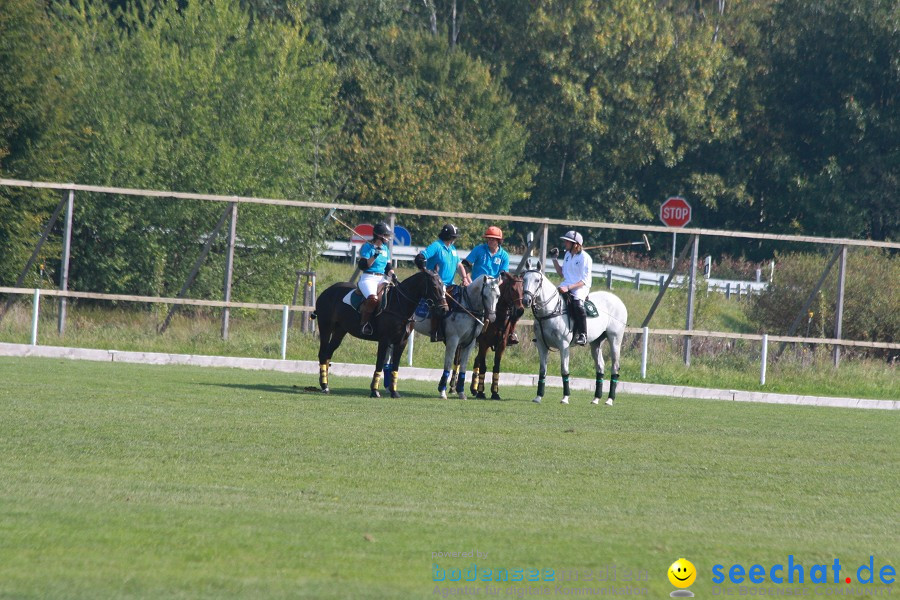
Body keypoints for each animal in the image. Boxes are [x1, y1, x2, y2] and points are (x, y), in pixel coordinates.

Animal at [312, 270, 448, 396]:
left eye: (444, 286)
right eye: (434, 286)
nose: (444, 309)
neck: (400, 304)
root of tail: (326, 291)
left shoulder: (402, 342)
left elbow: (395, 366)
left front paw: (394, 392)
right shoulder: (384, 340)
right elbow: (379, 363)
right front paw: (374, 391)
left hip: (340, 330)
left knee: (328, 354)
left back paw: (325, 383)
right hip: (325, 327)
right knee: (323, 354)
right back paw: (324, 385)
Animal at [520, 262, 624, 406]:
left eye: (537, 280)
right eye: (524, 279)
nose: (526, 301)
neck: (550, 311)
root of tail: (618, 300)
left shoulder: (564, 345)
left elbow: (564, 370)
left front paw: (565, 397)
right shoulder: (541, 345)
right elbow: (542, 370)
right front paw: (538, 396)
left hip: (615, 339)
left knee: (615, 367)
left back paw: (609, 400)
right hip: (596, 342)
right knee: (600, 366)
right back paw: (596, 398)